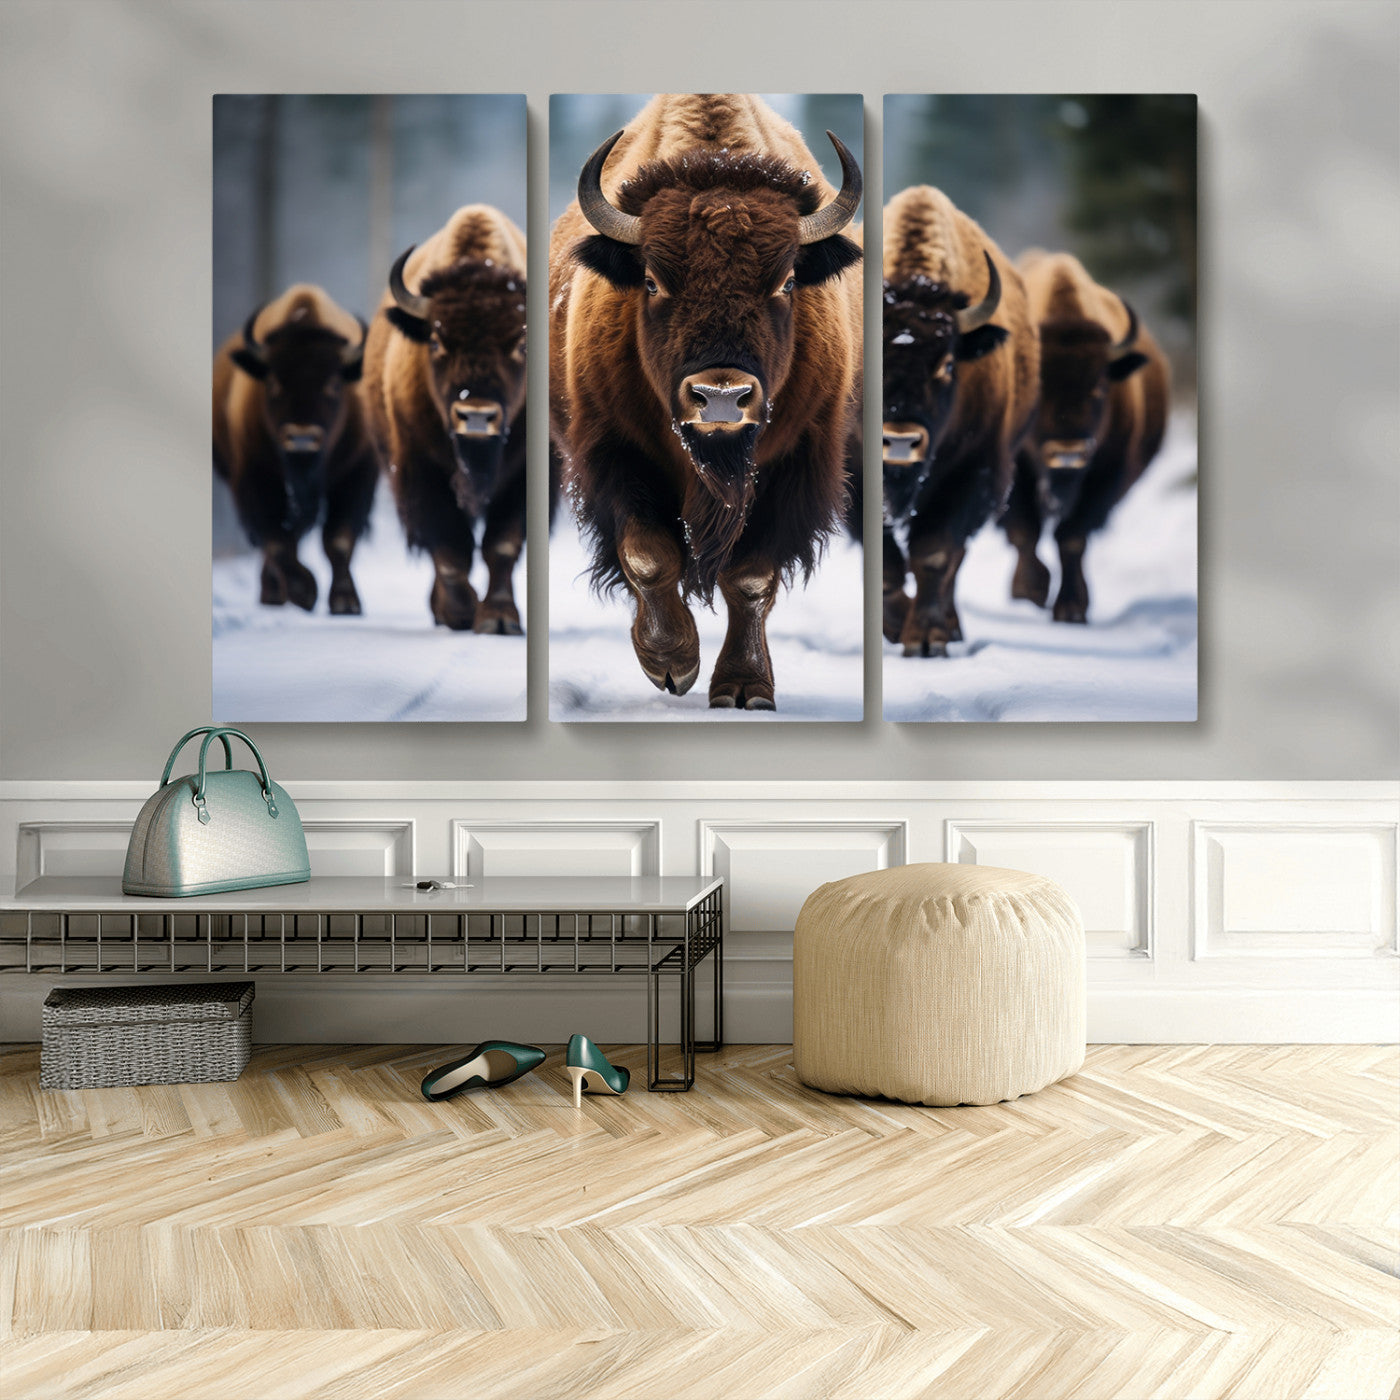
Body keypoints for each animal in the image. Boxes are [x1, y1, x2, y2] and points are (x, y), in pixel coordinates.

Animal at [212, 284, 375, 613]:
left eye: (334, 383)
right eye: (273, 382)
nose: (301, 438)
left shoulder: (356, 474)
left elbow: (338, 540)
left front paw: (345, 602)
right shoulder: (254, 479)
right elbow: (277, 542)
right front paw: (304, 592)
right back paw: (273, 594)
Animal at [362, 205, 528, 633]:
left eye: (522, 343)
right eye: (436, 341)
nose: (477, 415)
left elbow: (501, 544)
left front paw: (498, 619)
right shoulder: (421, 469)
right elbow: (450, 549)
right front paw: (460, 613)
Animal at [549, 93, 864, 709]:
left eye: (787, 281)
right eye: (651, 280)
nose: (721, 397)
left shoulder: (795, 463)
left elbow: (751, 577)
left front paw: (744, 687)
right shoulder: (615, 453)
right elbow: (648, 555)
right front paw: (672, 663)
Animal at [881, 185, 1039, 655]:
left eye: (948, 364)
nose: (900, 442)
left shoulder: (973, 472)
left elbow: (935, 555)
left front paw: (926, 639)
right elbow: (887, 565)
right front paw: (897, 626)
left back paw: (950, 627)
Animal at [1002, 250, 1170, 622]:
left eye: (1099, 387)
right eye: (1039, 389)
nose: (1068, 453)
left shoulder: (1103, 477)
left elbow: (1072, 539)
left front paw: (1071, 608)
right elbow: (1025, 531)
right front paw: (1029, 592)